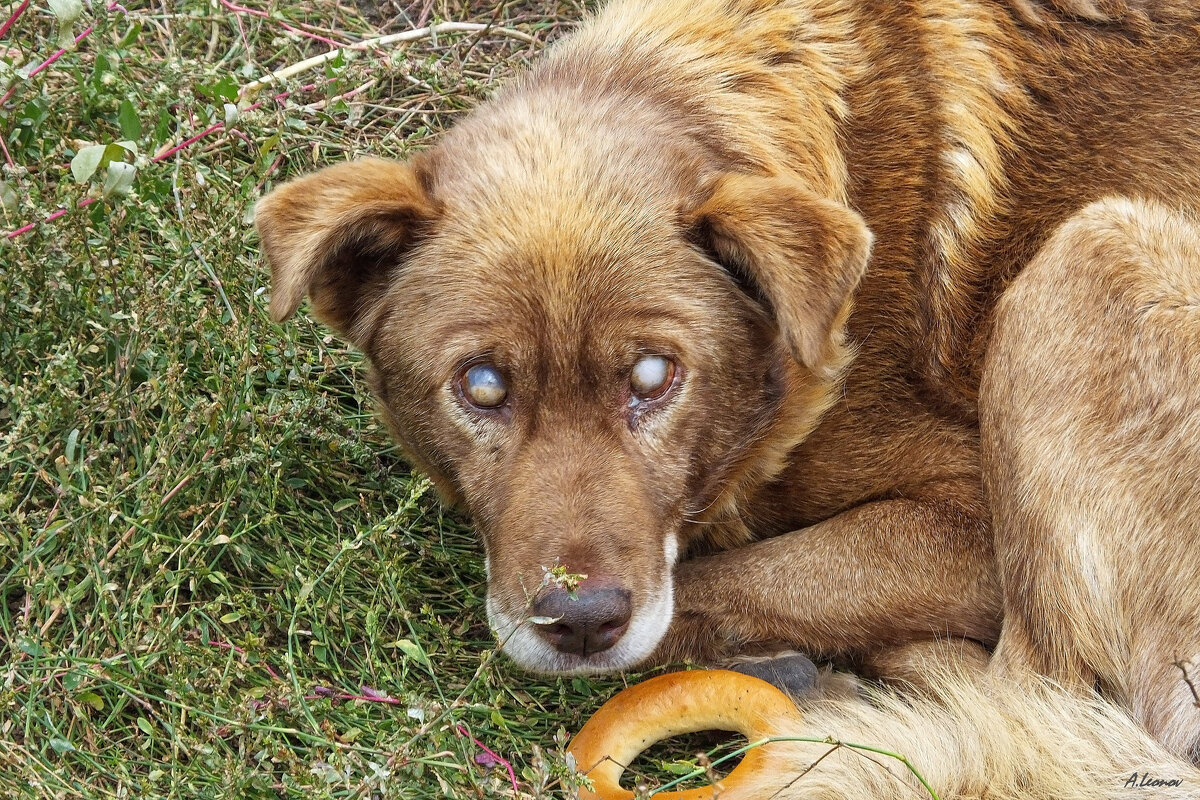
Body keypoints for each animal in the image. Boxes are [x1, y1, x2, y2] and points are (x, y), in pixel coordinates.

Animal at [253, 0, 1200, 767]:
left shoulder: (968, 525)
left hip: (1093, 251)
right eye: (482, 384)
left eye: (653, 375)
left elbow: (724, 585)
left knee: (1031, 703)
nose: (583, 623)